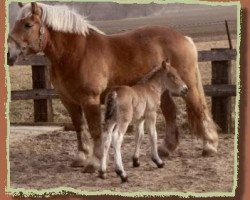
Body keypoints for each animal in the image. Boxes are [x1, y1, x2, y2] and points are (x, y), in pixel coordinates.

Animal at [8, 2, 219, 172]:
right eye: (15, 23)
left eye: (28, 24)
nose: (10, 54)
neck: (76, 53)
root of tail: (183, 37)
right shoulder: (69, 101)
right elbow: (79, 128)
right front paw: (81, 158)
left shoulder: (90, 100)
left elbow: (95, 130)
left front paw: (94, 162)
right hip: (162, 90)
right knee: (170, 113)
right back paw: (166, 149)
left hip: (187, 85)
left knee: (199, 108)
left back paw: (209, 146)